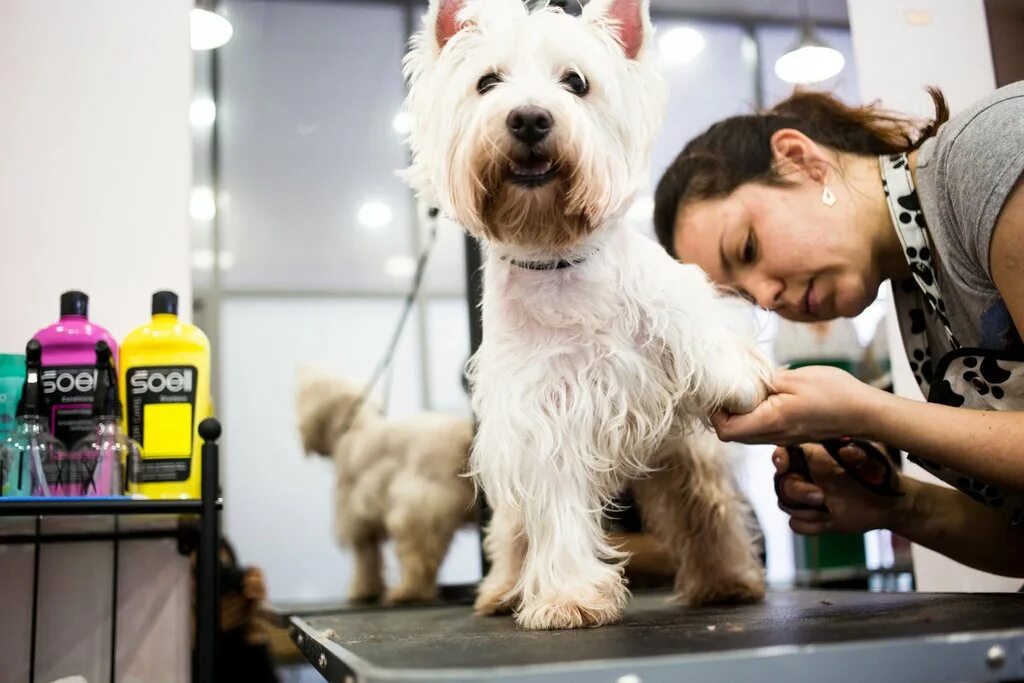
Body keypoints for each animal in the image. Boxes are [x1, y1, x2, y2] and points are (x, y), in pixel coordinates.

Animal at [294, 368, 473, 602]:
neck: (355, 429)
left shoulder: (356, 520)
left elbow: (365, 560)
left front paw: (361, 590)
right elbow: (372, 559)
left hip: (417, 511)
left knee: (419, 558)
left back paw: (407, 592)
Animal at [399, 0, 770, 630]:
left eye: (576, 82)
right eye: (487, 82)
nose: (528, 119)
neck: (558, 260)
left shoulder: (679, 312)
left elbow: (709, 341)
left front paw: (739, 378)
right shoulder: (543, 419)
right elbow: (556, 510)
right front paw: (569, 597)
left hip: (683, 456)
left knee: (706, 505)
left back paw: (728, 582)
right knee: (514, 531)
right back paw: (502, 590)